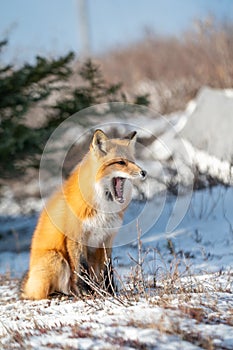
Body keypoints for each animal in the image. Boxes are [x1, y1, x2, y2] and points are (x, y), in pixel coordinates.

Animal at [20, 130, 147, 300]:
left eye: (132, 161)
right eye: (120, 162)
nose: (144, 172)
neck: (102, 207)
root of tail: (28, 286)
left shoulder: (107, 238)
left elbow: (107, 269)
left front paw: (110, 293)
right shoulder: (76, 237)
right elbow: (81, 268)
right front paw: (87, 292)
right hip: (56, 259)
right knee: (41, 294)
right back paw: (63, 295)